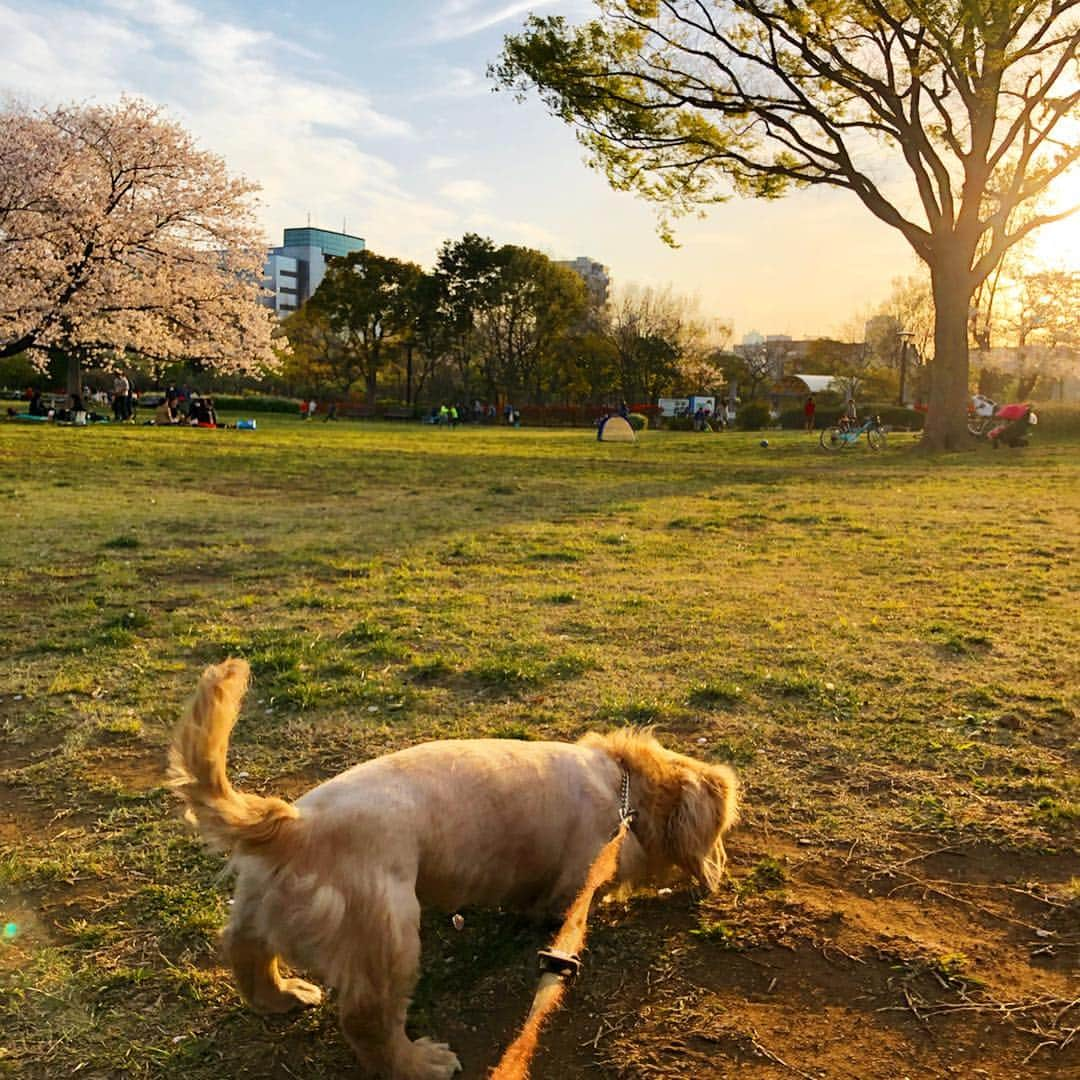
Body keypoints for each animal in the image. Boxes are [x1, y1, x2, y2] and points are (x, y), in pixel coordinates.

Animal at [168, 656, 738, 1080]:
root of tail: (291, 825)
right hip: (390, 935)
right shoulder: (577, 875)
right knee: (366, 1021)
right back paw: (421, 1063)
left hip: (260, 909)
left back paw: (282, 996)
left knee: (244, 950)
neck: (621, 787)